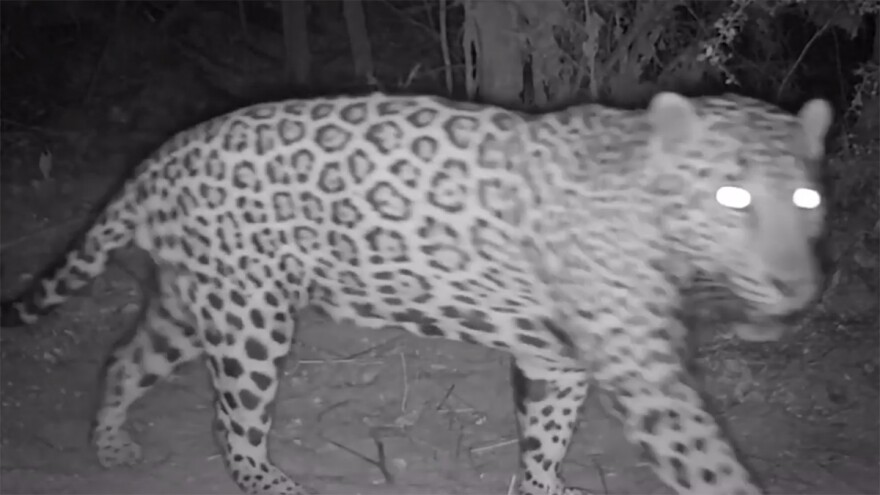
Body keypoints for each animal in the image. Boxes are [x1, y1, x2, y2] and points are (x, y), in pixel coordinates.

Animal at [1, 90, 832, 495]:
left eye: (808, 198)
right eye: (731, 197)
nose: (796, 286)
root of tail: (157, 158)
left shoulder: (562, 358)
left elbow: (548, 432)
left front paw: (543, 484)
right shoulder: (647, 376)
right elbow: (709, 463)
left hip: (195, 300)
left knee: (125, 358)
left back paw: (111, 441)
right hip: (249, 320)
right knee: (231, 421)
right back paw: (270, 481)